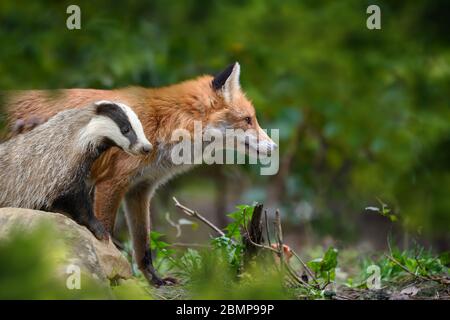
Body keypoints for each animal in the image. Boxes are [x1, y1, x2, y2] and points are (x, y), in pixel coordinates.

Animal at [2, 62, 278, 284]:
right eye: (248, 120)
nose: (274, 147)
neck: (162, 123)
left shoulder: (140, 189)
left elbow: (143, 246)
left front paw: (155, 280)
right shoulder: (111, 183)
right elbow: (106, 233)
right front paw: (114, 275)